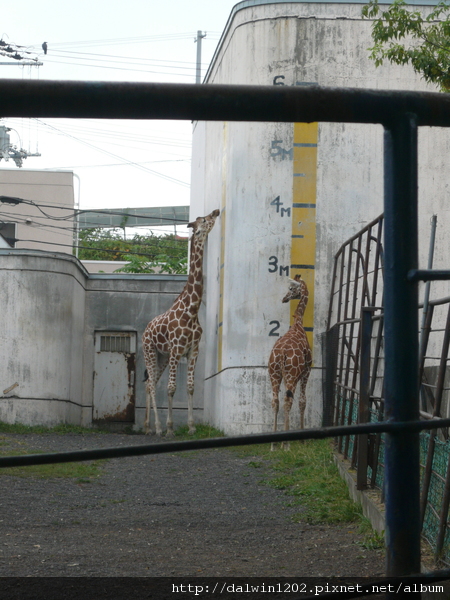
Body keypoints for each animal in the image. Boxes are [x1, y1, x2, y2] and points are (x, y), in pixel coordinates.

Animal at [142, 209, 220, 434]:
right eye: (205, 220)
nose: (217, 211)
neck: (191, 309)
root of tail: (145, 330)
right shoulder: (177, 350)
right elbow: (171, 388)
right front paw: (170, 427)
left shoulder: (193, 350)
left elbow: (190, 387)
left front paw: (192, 426)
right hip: (150, 352)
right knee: (152, 385)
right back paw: (158, 427)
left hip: (162, 357)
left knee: (149, 383)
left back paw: (148, 427)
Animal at [268, 274, 312, 448]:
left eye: (291, 288)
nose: (284, 299)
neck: (298, 323)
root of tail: (281, 354)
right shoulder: (307, 370)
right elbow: (302, 401)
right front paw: (302, 439)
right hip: (291, 374)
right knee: (288, 400)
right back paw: (285, 444)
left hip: (274, 373)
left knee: (275, 401)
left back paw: (274, 444)